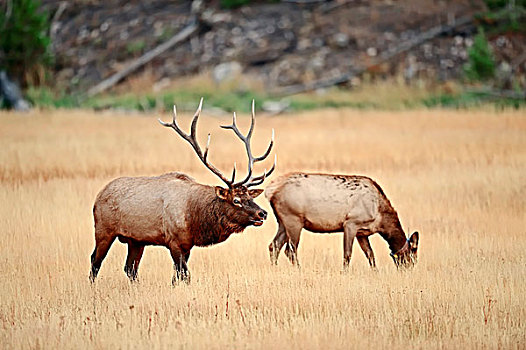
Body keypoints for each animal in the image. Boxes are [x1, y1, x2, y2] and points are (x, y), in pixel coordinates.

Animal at [91, 98, 278, 284]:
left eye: (250, 196)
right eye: (236, 200)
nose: (262, 213)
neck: (195, 219)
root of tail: (98, 196)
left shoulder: (188, 245)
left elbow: (177, 276)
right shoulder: (173, 241)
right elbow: (185, 275)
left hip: (136, 240)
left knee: (130, 268)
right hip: (103, 230)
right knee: (95, 260)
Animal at [268, 174, 420, 270]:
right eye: (412, 255)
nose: (409, 269)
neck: (380, 218)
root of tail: (271, 192)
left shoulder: (362, 233)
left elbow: (370, 254)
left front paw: (375, 272)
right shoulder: (351, 223)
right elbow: (347, 253)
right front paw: (344, 272)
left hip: (283, 222)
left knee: (274, 246)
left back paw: (275, 269)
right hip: (294, 219)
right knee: (290, 250)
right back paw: (299, 269)